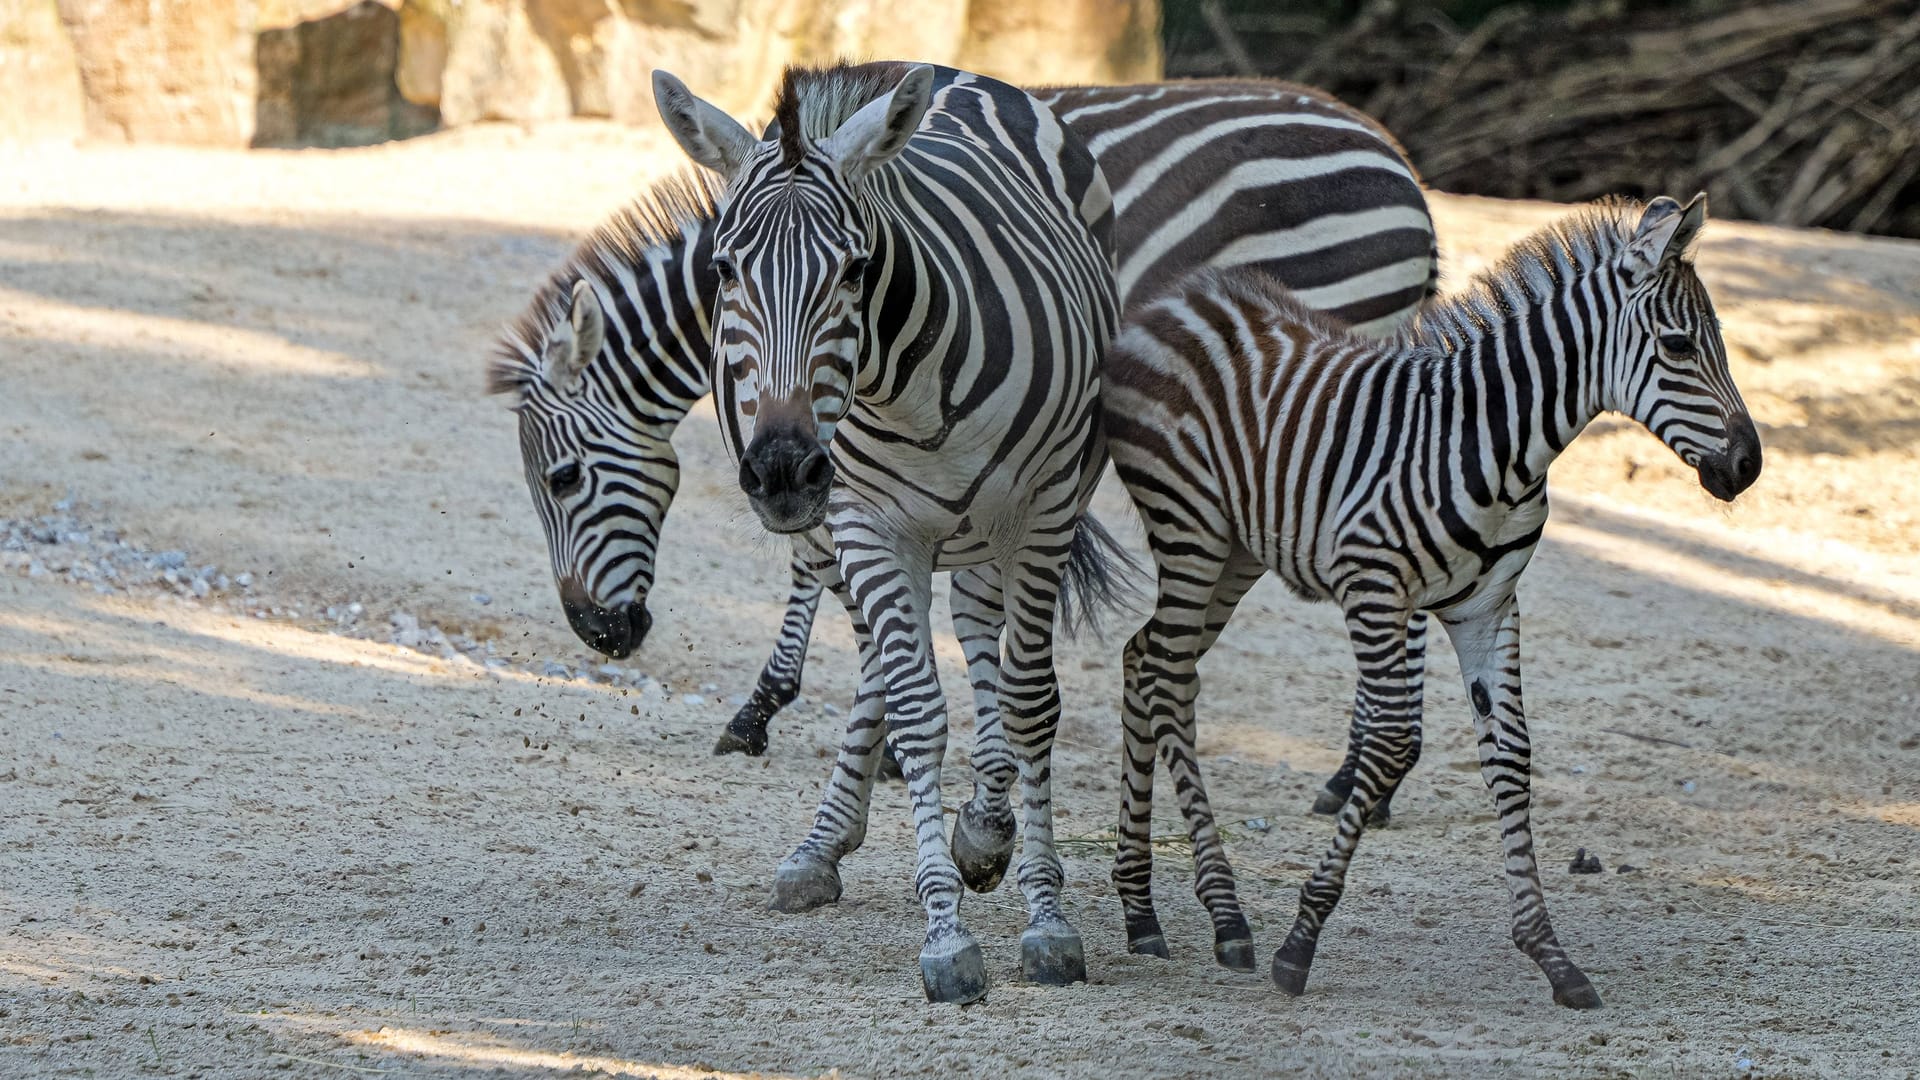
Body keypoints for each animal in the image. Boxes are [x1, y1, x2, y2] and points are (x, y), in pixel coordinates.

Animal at [487, 75, 1436, 818]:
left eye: (563, 478)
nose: (600, 634)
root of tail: (1400, 163)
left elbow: (815, 567)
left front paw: (767, 710)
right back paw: (1365, 776)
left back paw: (1359, 778)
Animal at [652, 58, 1121, 999]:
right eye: (723, 270)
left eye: (856, 269)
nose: (783, 469)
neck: (907, 393)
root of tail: (953, 76)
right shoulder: (867, 522)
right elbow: (914, 709)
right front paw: (946, 932)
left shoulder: (1042, 513)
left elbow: (1030, 705)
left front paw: (1047, 919)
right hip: (871, 532)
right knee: (891, 654)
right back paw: (836, 844)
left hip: (994, 528)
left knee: (985, 642)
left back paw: (986, 825)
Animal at [1105, 191, 1758, 999]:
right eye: (1676, 346)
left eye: (1718, 342)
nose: (1751, 464)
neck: (1502, 447)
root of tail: (1175, 297)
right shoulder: (1374, 587)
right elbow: (1391, 741)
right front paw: (1301, 940)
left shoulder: (1488, 608)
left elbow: (1511, 756)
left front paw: (1549, 953)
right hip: (1188, 526)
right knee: (1167, 676)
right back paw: (1224, 918)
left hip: (1235, 550)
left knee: (1145, 660)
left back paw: (1142, 911)